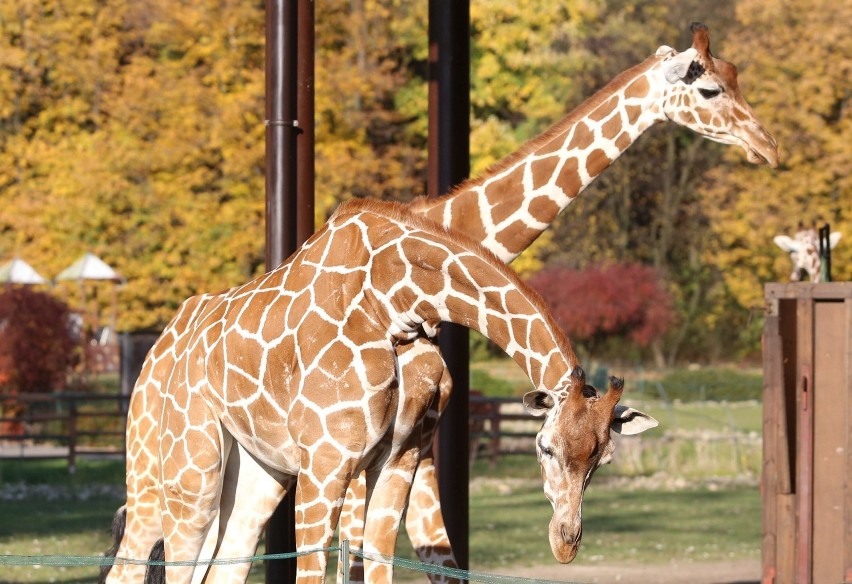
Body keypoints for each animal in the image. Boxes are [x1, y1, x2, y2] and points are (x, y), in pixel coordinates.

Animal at [148, 197, 652, 584]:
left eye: (604, 459)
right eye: (545, 447)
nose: (565, 544)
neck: (393, 299)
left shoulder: (398, 460)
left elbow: (379, 563)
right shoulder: (325, 464)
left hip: (259, 470)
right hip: (191, 471)